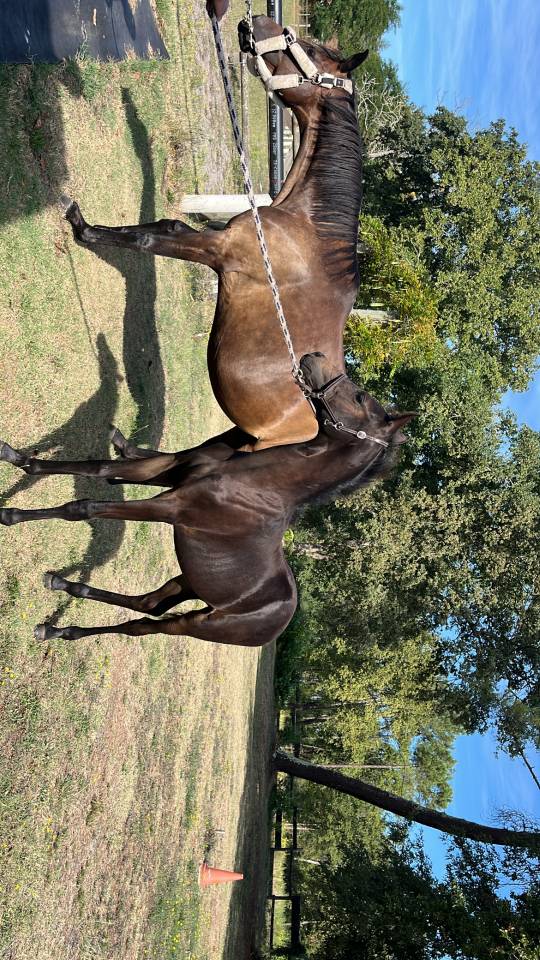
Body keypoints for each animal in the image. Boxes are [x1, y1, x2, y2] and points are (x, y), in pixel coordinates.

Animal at [0, 354, 415, 646]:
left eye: (359, 397)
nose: (313, 356)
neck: (259, 483)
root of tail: (277, 625)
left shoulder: (171, 507)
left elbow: (83, 507)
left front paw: (9, 513)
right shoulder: (167, 471)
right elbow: (99, 469)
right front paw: (17, 459)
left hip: (198, 623)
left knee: (143, 626)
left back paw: (59, 628)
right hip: (192, 580)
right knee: (149, 605)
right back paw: (61, 593)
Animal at [62, 14, 369, 452]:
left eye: (308, 49)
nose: (255, 21)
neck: (308, 229)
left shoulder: (219, 249)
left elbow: (152, 236)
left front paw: (82, 228)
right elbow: (163, 226)